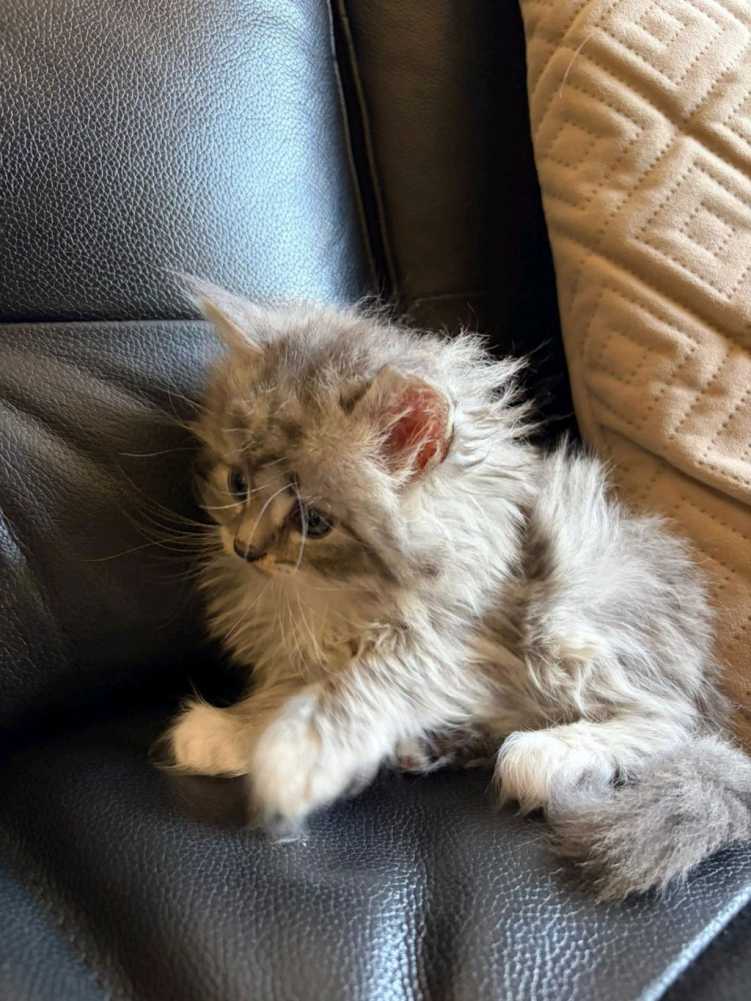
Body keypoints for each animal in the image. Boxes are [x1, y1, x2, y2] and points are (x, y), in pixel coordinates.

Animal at [162, 278, 751, 900]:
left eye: (314, 521)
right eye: (238, 484)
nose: (245, 549)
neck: (336, 596)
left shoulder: (454, 647)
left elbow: (350, 692)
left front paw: (292, 758)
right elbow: (290, 688)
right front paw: (235, 730)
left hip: (570, 616)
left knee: (665, 719)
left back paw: (542, 756)